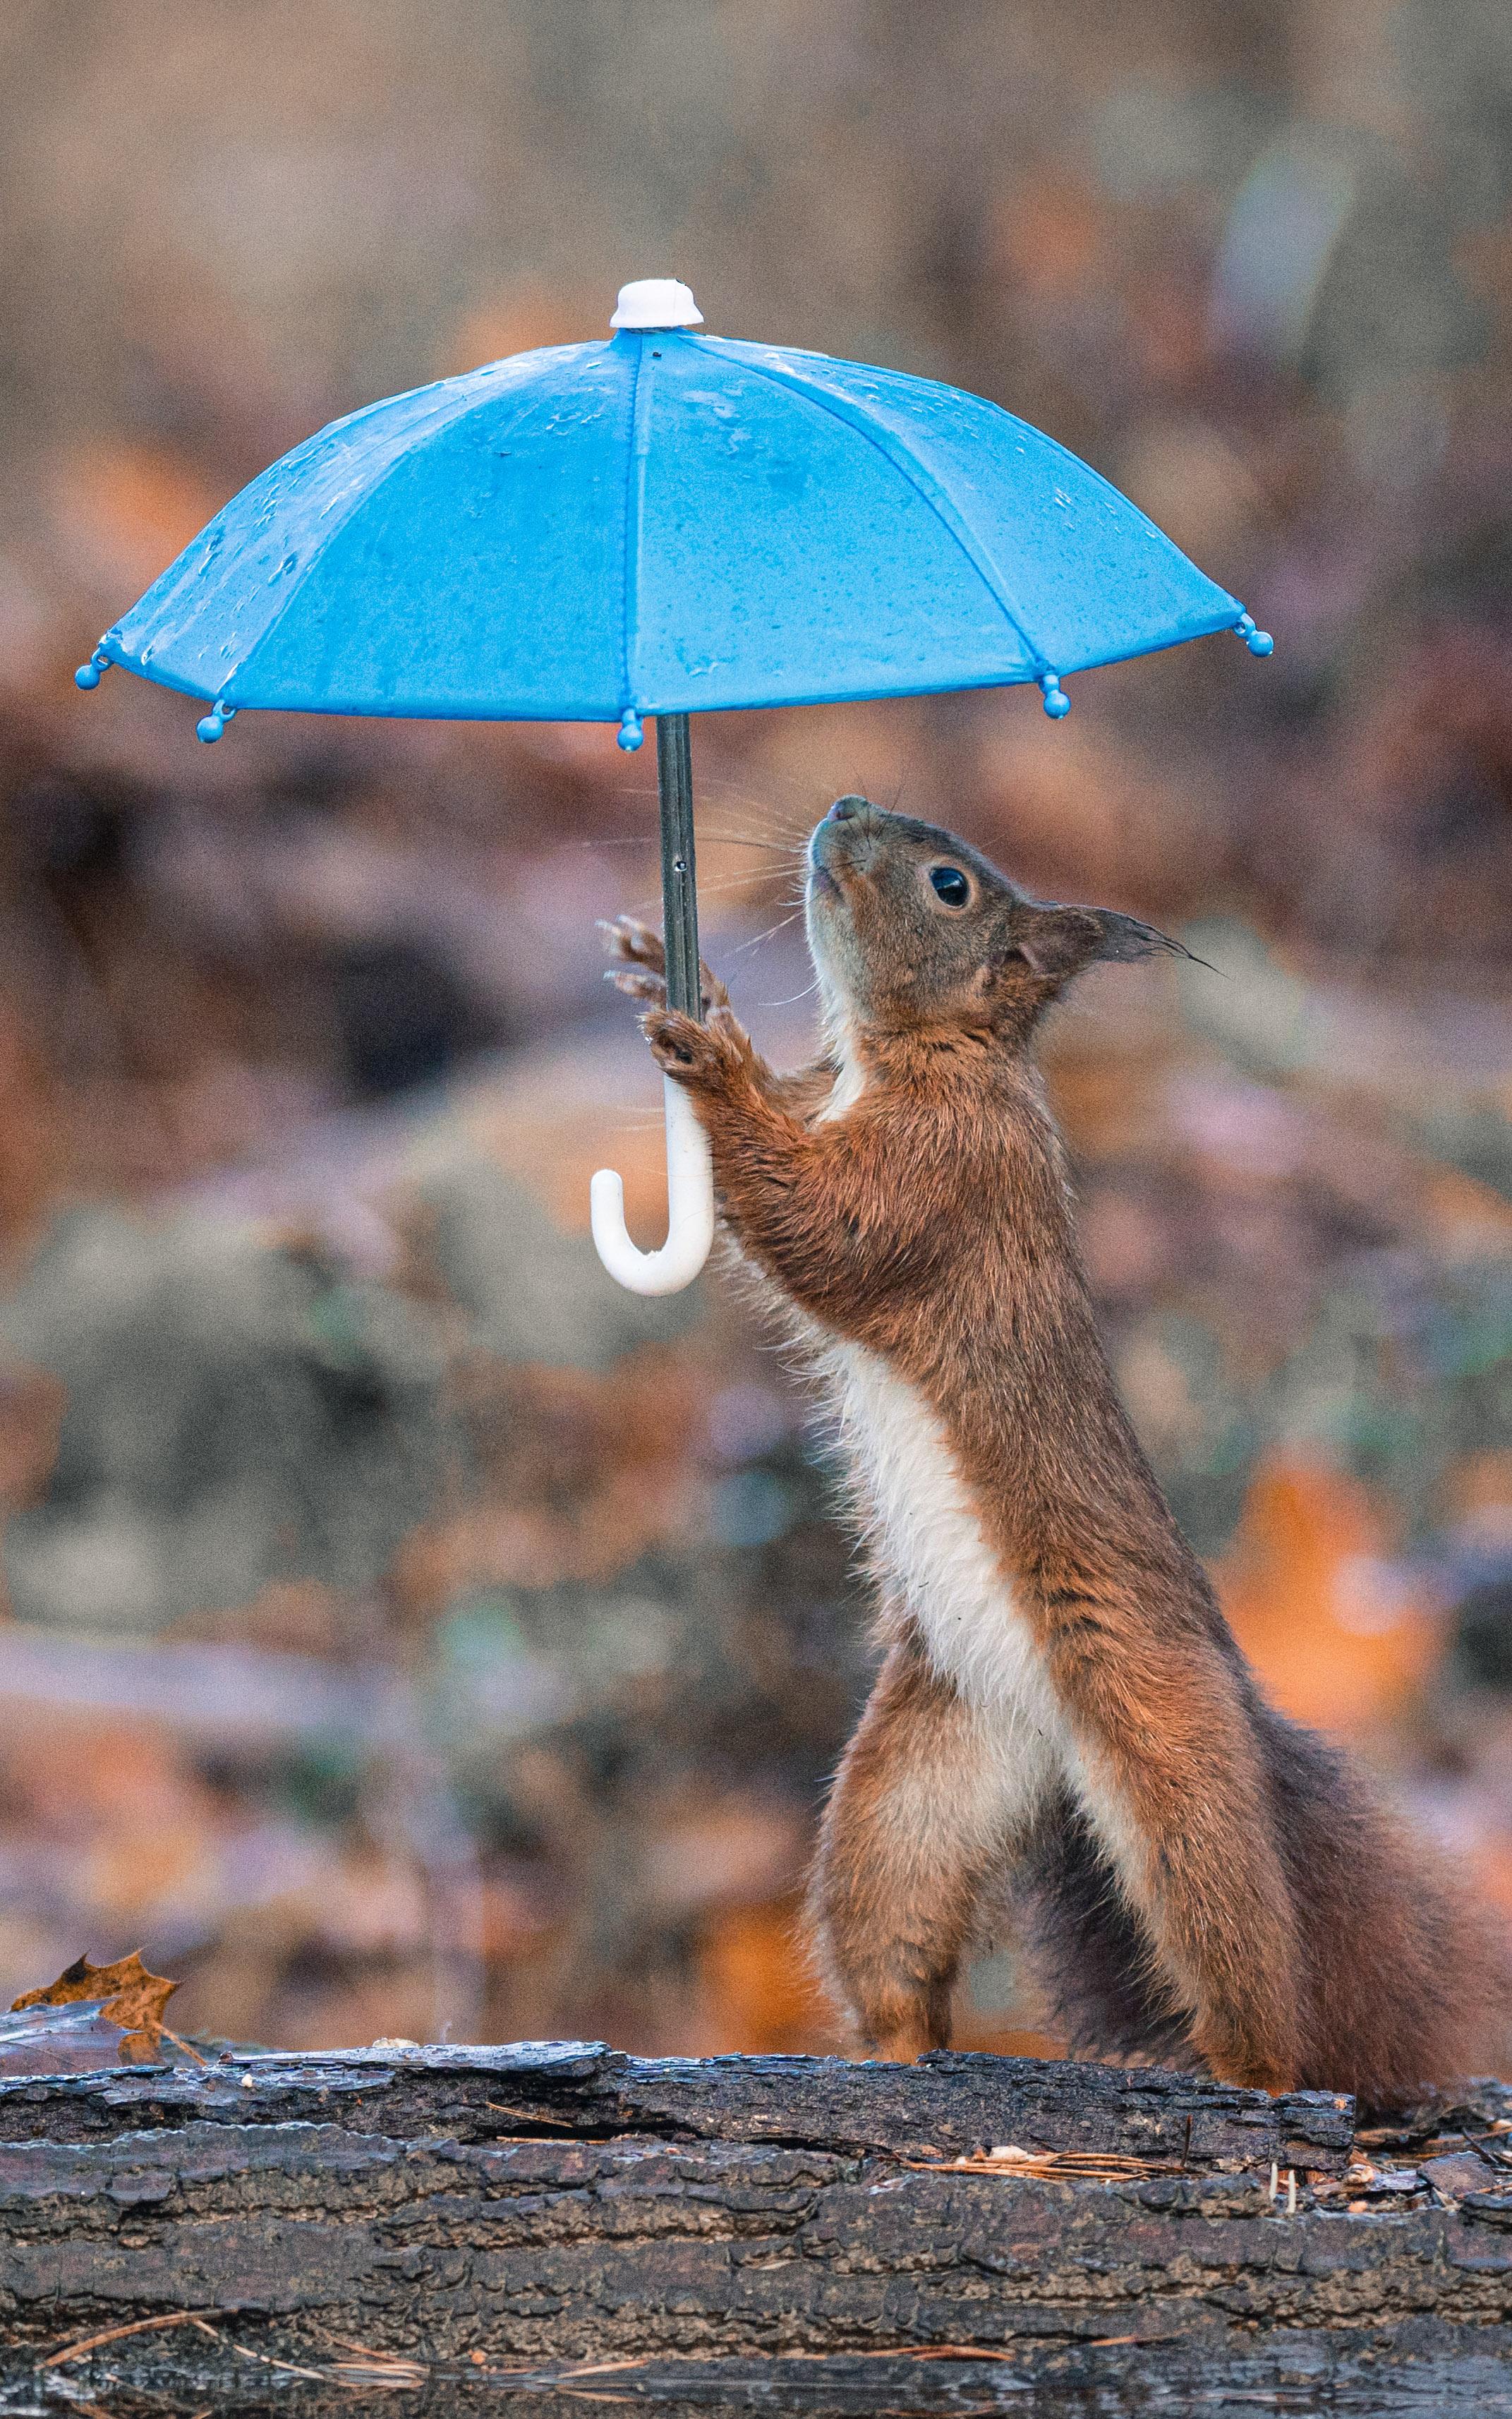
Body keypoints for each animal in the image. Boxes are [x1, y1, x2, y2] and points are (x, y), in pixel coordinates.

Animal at [607, 793, 1499, 2099]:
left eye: (949, 886)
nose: (842, 809)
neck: (916, 1054)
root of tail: (1054, 1748)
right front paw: (668, 976)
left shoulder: (945, 1177)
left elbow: (819, 1225)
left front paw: (712, 1062)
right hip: (919, 1786)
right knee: (891, 1926)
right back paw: (892, 2049)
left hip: (1171, 1766)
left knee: (1245, 1960)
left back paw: (1245, 2069)